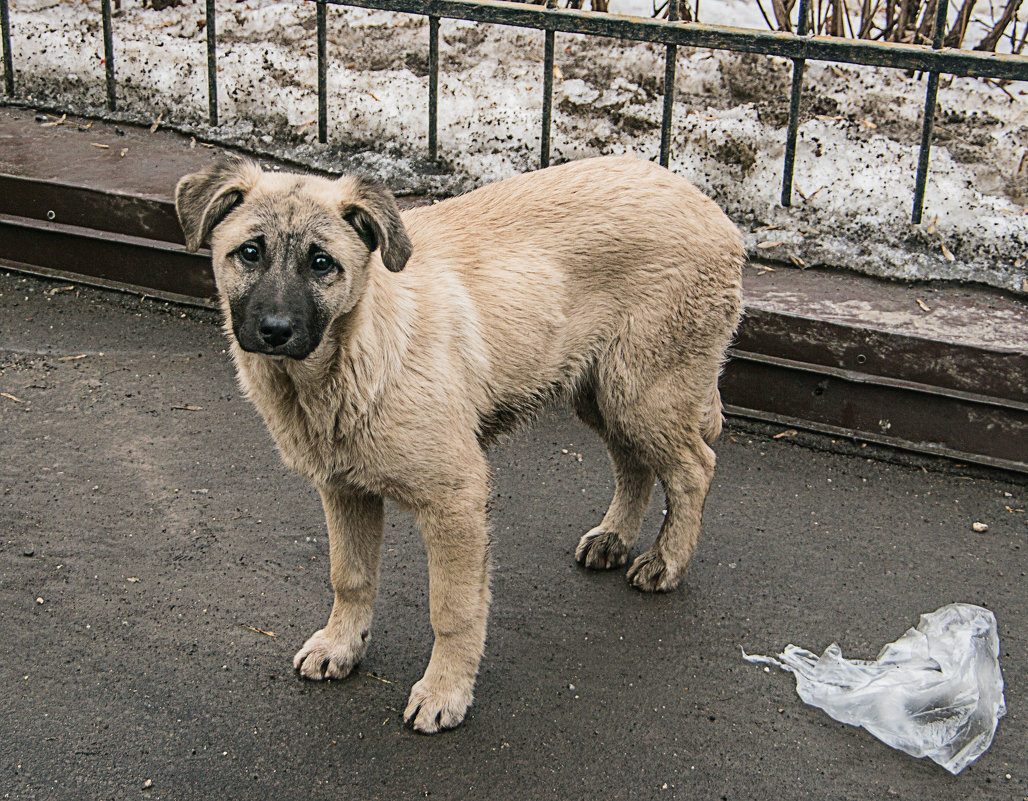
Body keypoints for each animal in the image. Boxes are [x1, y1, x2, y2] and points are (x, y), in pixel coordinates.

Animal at [174, 155, 740, 732]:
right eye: (249, 252)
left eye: (321, 262)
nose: (275, 330)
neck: (360, 348)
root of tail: (707, 206)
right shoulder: (345, 490)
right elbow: (349, 576)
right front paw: (341, 645)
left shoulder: (455, 501)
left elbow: (453, 609)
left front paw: (445, 691)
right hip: (602, 391)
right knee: (634, 464)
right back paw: (614, 538)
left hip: (642, 391)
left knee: (695, 468)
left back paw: (667, 561)